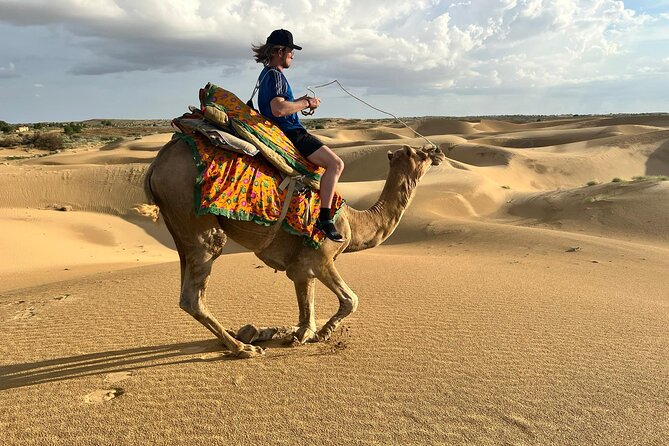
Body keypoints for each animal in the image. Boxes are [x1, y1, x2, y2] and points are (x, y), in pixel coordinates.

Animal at [143, 138, 445, 358]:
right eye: (419, 154)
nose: (437, 151)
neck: (354, 222)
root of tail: (156, 165)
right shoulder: (321, 257)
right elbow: (350, 299)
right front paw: (323, 333)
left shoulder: (300, 267)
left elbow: (305, 307)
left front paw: (297, 334)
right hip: (196, 220)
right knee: (194, 292)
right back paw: (243, 349)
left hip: (178, 226)